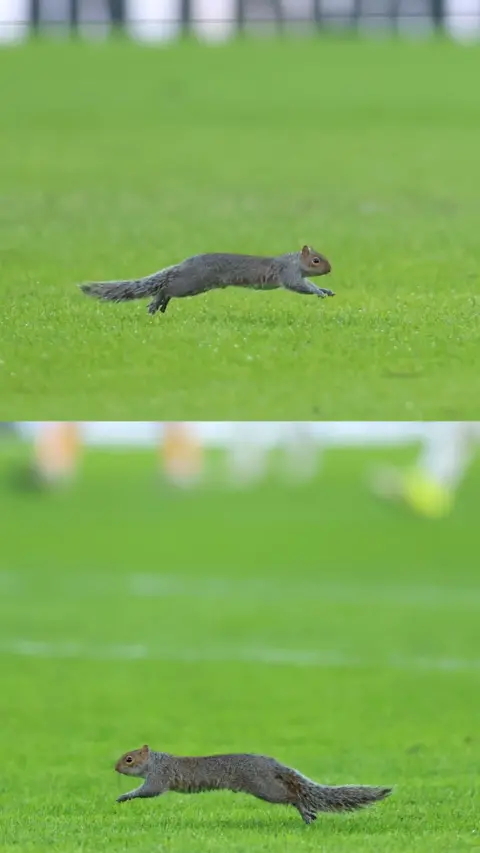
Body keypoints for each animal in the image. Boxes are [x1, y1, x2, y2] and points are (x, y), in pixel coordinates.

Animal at [79, 245, 334, 315]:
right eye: (316, 260)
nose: (330, 269)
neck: (294, 261)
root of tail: (184, 264)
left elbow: (310, 284)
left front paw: (326, 290)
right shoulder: (288, 274)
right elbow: (301, 287)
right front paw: (320, 292)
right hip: (190, 284)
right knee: (166, 288)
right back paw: (156, 303)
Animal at [114, 745, 392, 824]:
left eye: (129, 759)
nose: (115, 768)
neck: (156, 761)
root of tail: (273, 764)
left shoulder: (158, 778)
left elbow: (147, 791)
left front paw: (123, 796)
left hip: (266, 788)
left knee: (293, 795)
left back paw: (306, 812)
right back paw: (308, 815)